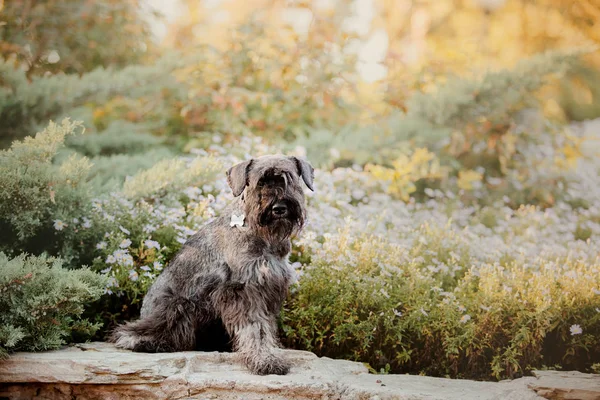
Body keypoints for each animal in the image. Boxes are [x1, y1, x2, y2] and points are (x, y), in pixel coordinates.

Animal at [110, 154, 314, 376]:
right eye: (260, 182)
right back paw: (144, 341)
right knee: (132, 332)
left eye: (290, 180)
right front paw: (264, 360)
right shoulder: (243, 290)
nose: (279, 209)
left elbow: (265, 327)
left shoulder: (269, 288)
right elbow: (256, 328)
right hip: (177, 306)